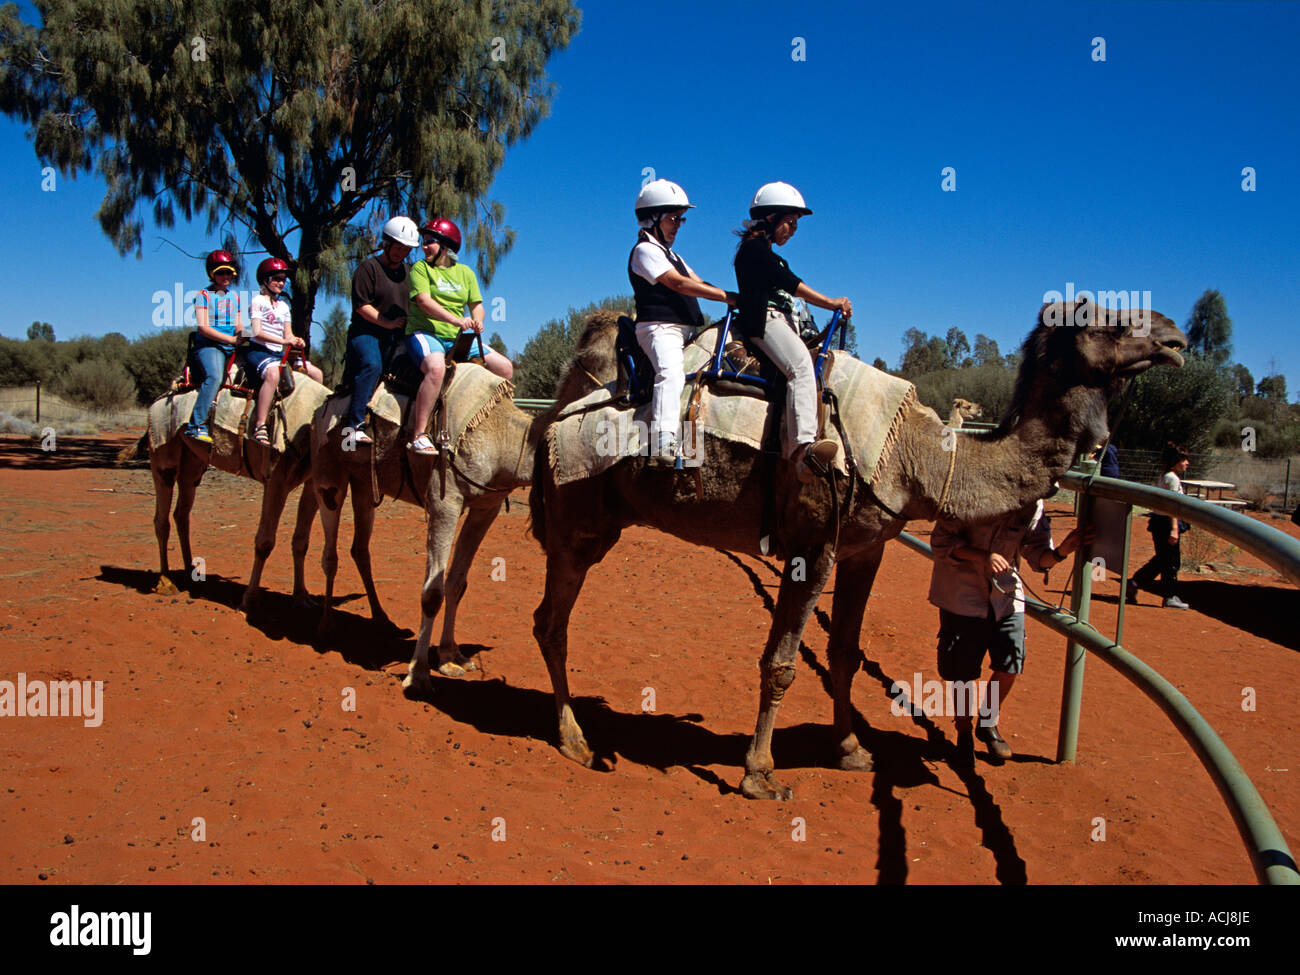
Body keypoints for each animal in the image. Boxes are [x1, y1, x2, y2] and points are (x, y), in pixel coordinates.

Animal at [312, 313, 621, 681]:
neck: (502, 437)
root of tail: (325, 405)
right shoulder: (444, 502)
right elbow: (432, 591)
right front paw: (418, 674)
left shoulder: (485, 506)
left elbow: (456, 582)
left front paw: (450, 656)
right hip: (329, 475)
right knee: (329, 551)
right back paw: (325, 625)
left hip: (362, 482)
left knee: (360, 548)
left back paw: (382, 620)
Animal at [527, 300, 1190, 800]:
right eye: (1104, 321)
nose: (1176, 337)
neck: (916, 454)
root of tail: (553, 415)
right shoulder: (813, 544)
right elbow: (781, 662)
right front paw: (760, 775)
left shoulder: (865, 548)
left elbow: (844, 652)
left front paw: (851, 750)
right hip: (576, 523)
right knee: (551, 621)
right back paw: (577, 741)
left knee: (548, 619)